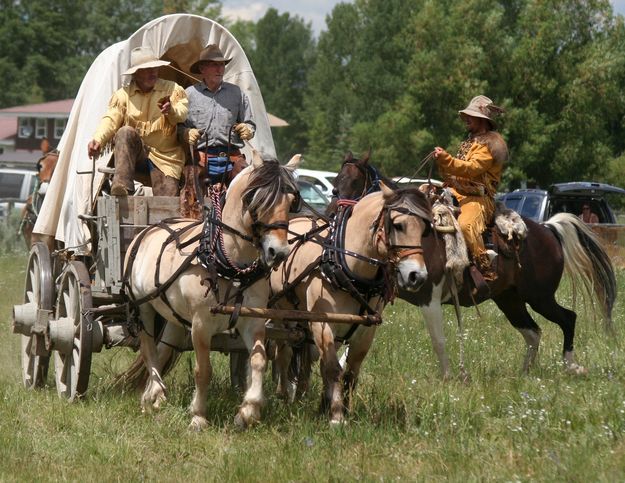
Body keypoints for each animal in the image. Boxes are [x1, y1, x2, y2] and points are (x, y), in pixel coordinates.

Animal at [124, 153, 300, 430]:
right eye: (256, 199)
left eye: (292, 201)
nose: (279, 252)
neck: (229, 265)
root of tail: (147, 229)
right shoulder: (200, 323)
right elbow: (203, 369)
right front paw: (198, 416)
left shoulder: (252, 320)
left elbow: (258, 361)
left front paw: (249, 410)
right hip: (143, 306)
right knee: (148, 347)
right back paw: (154, 394)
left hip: (172, 313)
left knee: (164, 346)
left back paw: (155, 394)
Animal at [332, 154, 616, 378]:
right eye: (334, 187)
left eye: (353, 184)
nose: (335, 214)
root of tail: (547, 229)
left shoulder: (428, 296)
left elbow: (438, 340)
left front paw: (449, 378)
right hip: (510, 299)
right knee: (533, 332)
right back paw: (525, 373)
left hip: (540, 296)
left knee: (567, 319)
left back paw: (571, 366)